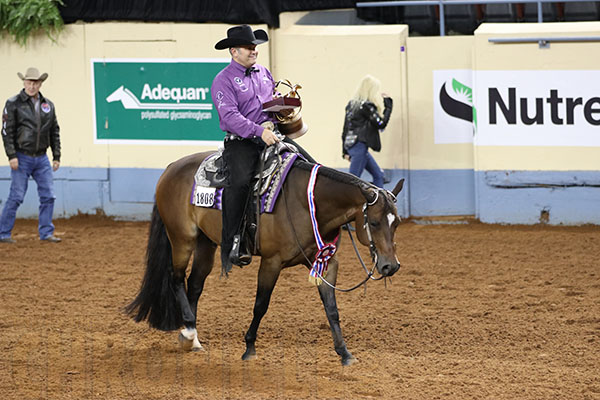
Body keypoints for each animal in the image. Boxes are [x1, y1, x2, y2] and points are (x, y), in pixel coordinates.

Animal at [127, 150, 408, 366]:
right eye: (374, 222)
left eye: (396, 223)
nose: (390, 266)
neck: (308, 202)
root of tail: (171, 168)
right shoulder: (271, 262)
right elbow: (261, 305)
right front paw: (249, 348)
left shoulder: (326, 262)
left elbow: (332, 309)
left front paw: (345, 353)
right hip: (182, 238)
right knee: (176, 279)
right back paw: (187, 333)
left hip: (206, 243)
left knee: (194, 285)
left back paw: (192, 335)